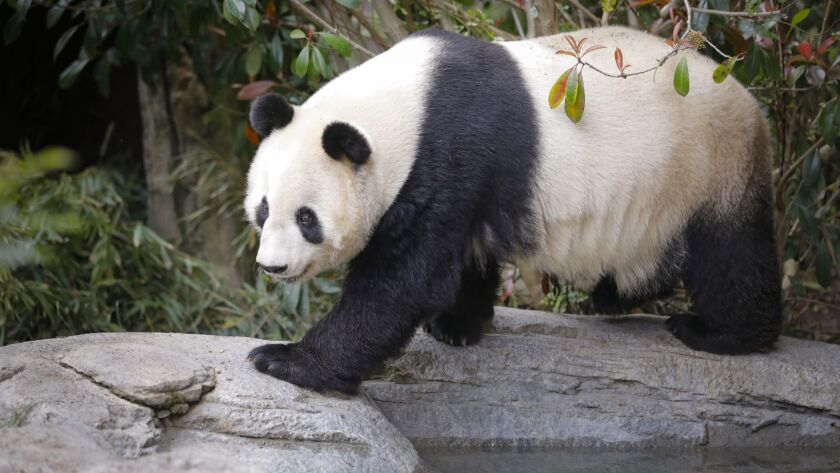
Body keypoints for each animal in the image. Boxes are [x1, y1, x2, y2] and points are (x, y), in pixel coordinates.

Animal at [243, 26, 780, 394]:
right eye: (263, 210)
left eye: (307, 218)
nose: (272, 267)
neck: (404, 109)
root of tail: (749, 99)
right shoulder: (470, 176)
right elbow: (463, 256)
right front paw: (458, 325)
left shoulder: (447, 152)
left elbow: (401, 282)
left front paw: (285, 360)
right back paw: (614, 297)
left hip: (709, 165)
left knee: (730, 253)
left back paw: (720, 332)